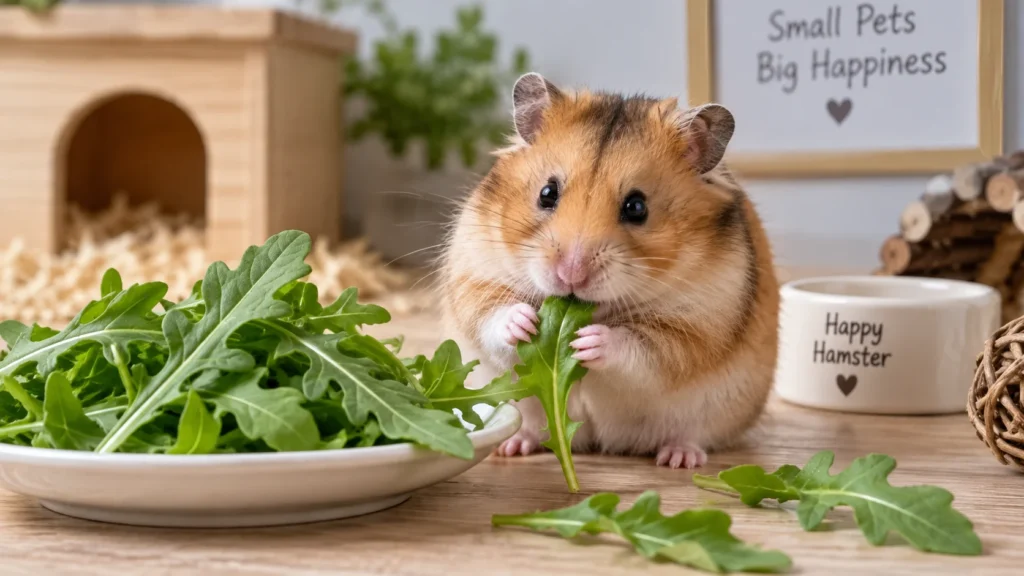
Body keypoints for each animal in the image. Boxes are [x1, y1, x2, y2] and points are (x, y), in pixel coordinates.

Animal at [438, 72, 779, 469]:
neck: (592, 309)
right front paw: (526, 323)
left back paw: (679, 458)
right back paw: (510, 446)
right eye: (547, 193)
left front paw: (588, 340)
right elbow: (491, 316)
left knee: (691, 435)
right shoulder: (474, 277)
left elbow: (640, 350)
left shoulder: (696, 327)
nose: (570, 275)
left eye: (637, 207)